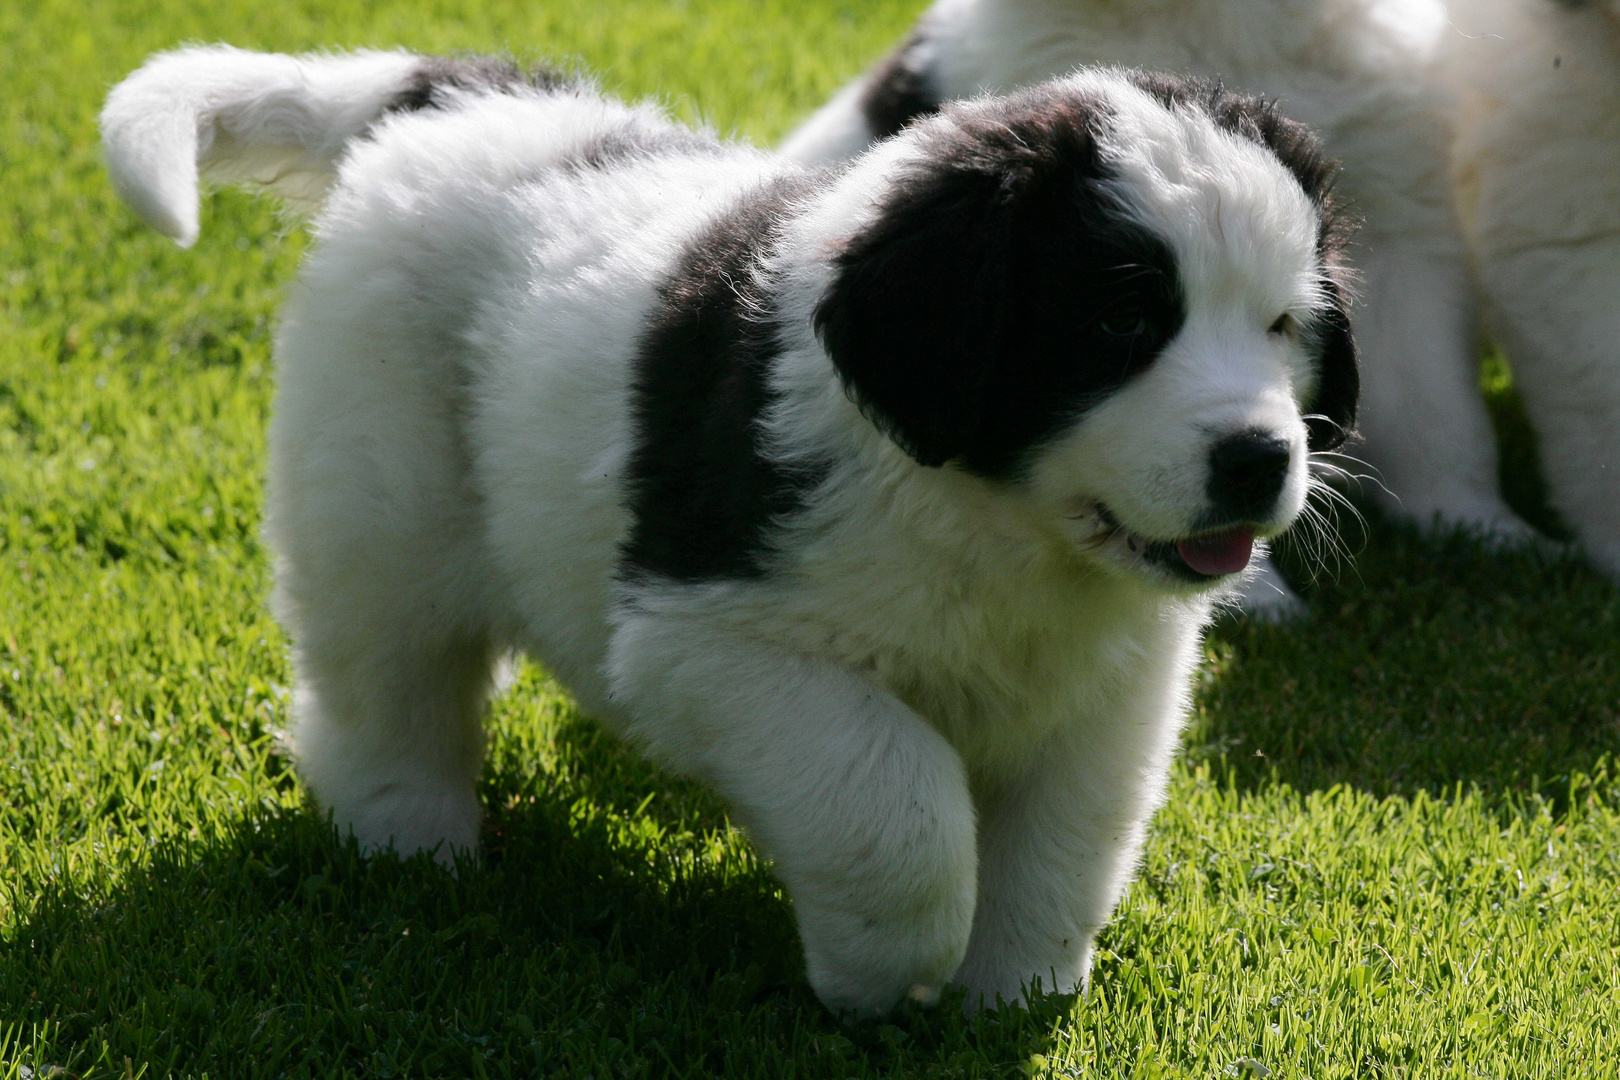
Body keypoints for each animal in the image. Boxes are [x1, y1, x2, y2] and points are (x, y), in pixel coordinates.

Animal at [101, 46, 1354, 1016]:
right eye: (1122, 322)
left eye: (1284, 325)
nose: (1260, 459)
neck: (996, 521)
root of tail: (459, 92)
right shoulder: (710, 642)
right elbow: (894, 804)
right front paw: (884, 974)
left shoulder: (1113, 688)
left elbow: (1066, 839)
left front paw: (1012, 996)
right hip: (380, 486)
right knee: (387, 678)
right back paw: (412, 842)